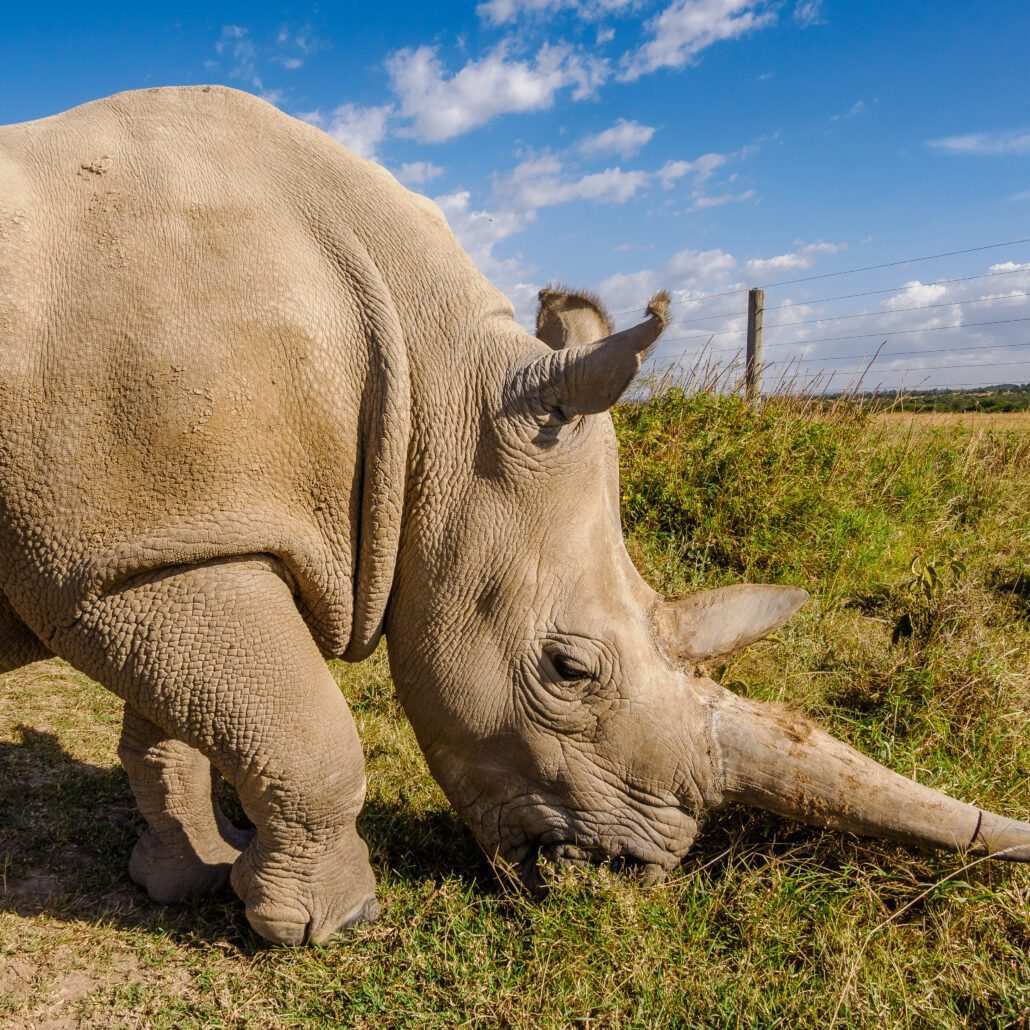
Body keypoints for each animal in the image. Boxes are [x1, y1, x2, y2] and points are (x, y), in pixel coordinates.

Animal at [0, 86, 1027, 946]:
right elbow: (307, 732)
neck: (437, 393)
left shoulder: (170, 533)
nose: (631, 873)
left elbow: (176, 725)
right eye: (568, 670)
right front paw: (330, 925)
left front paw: (188, 878)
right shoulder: (137, 552)